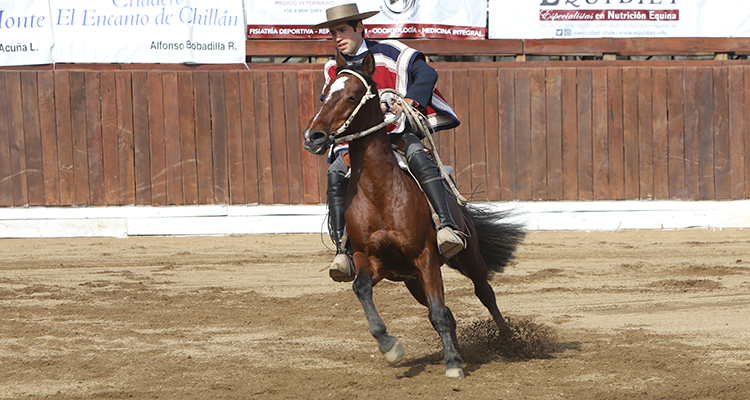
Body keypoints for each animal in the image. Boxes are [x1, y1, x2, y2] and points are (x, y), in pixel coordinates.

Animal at [302, 50, 524, 378]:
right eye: (325, 94)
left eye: (352, 96)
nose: (313, 136)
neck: (380, 191)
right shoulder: (372, 260)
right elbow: (361, 288)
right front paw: (389, 345)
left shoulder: (426, 256)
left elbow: (440, 312)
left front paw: (453, 365)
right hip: (412, 280)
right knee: (446, 310)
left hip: (467, 256)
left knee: (484, 293)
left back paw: (508, 340)